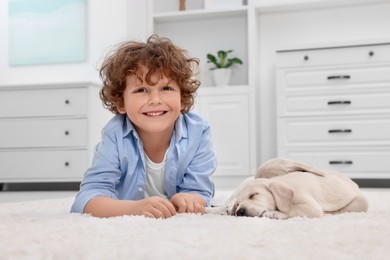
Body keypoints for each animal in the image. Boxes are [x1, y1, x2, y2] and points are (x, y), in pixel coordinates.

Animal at [207, 157, 368, 218]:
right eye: (239, 205)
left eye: (254, 195)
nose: (239, 211)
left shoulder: (309, 206)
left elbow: (292, 209)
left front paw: (274, 213)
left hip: (360, 203)